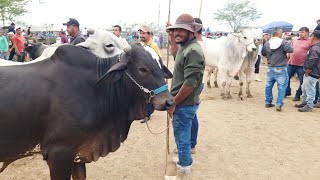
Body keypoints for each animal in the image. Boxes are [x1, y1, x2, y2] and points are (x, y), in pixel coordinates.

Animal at [0, 44, 172, 179]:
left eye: (161, 67)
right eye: (142, 69)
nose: (169, 101)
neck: (97, 89)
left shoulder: (78, 155)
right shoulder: (58, 153)